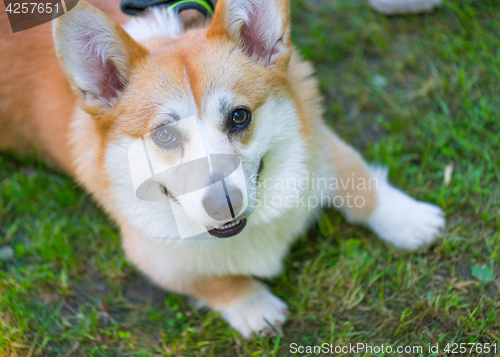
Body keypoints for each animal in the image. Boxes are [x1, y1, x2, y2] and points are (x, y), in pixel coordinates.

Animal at [0, 0, 446, 336]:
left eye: (239, 116)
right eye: (164, 135)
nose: (223, 204)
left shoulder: (319, 145)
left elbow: (360, 181)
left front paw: (411, 221)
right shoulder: (154, 256)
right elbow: (216, 280)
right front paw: (256, 306)